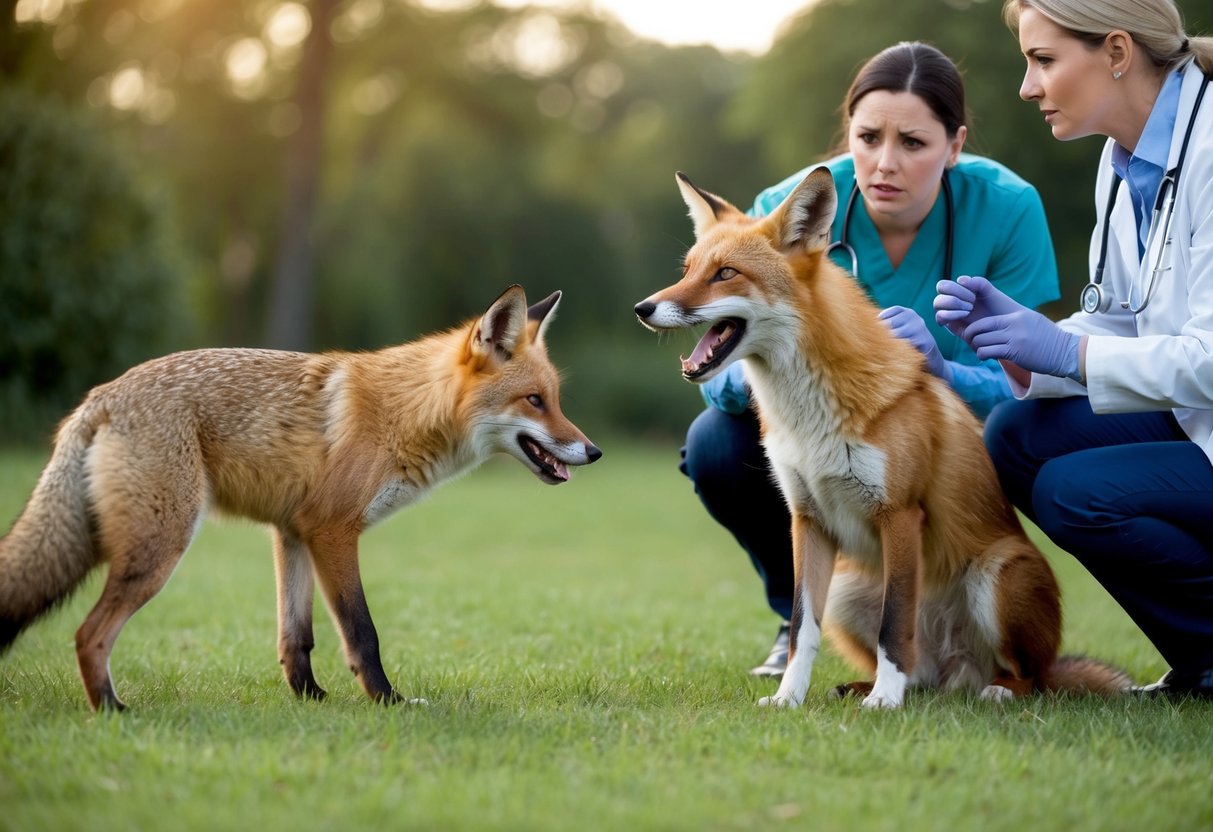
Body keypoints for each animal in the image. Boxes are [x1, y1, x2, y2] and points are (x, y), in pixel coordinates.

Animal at [0, 284, 601, 712]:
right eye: (534, 400)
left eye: (556, 400)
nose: (593, 451)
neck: (406, 414)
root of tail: (98, 397)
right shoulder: (333, 531)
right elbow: (362, 631)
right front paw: (388, 701)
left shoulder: (293, 532)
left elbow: (297, 636)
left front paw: (309, 699)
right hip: (160, 546)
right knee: (89, 633)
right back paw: (111, 709)